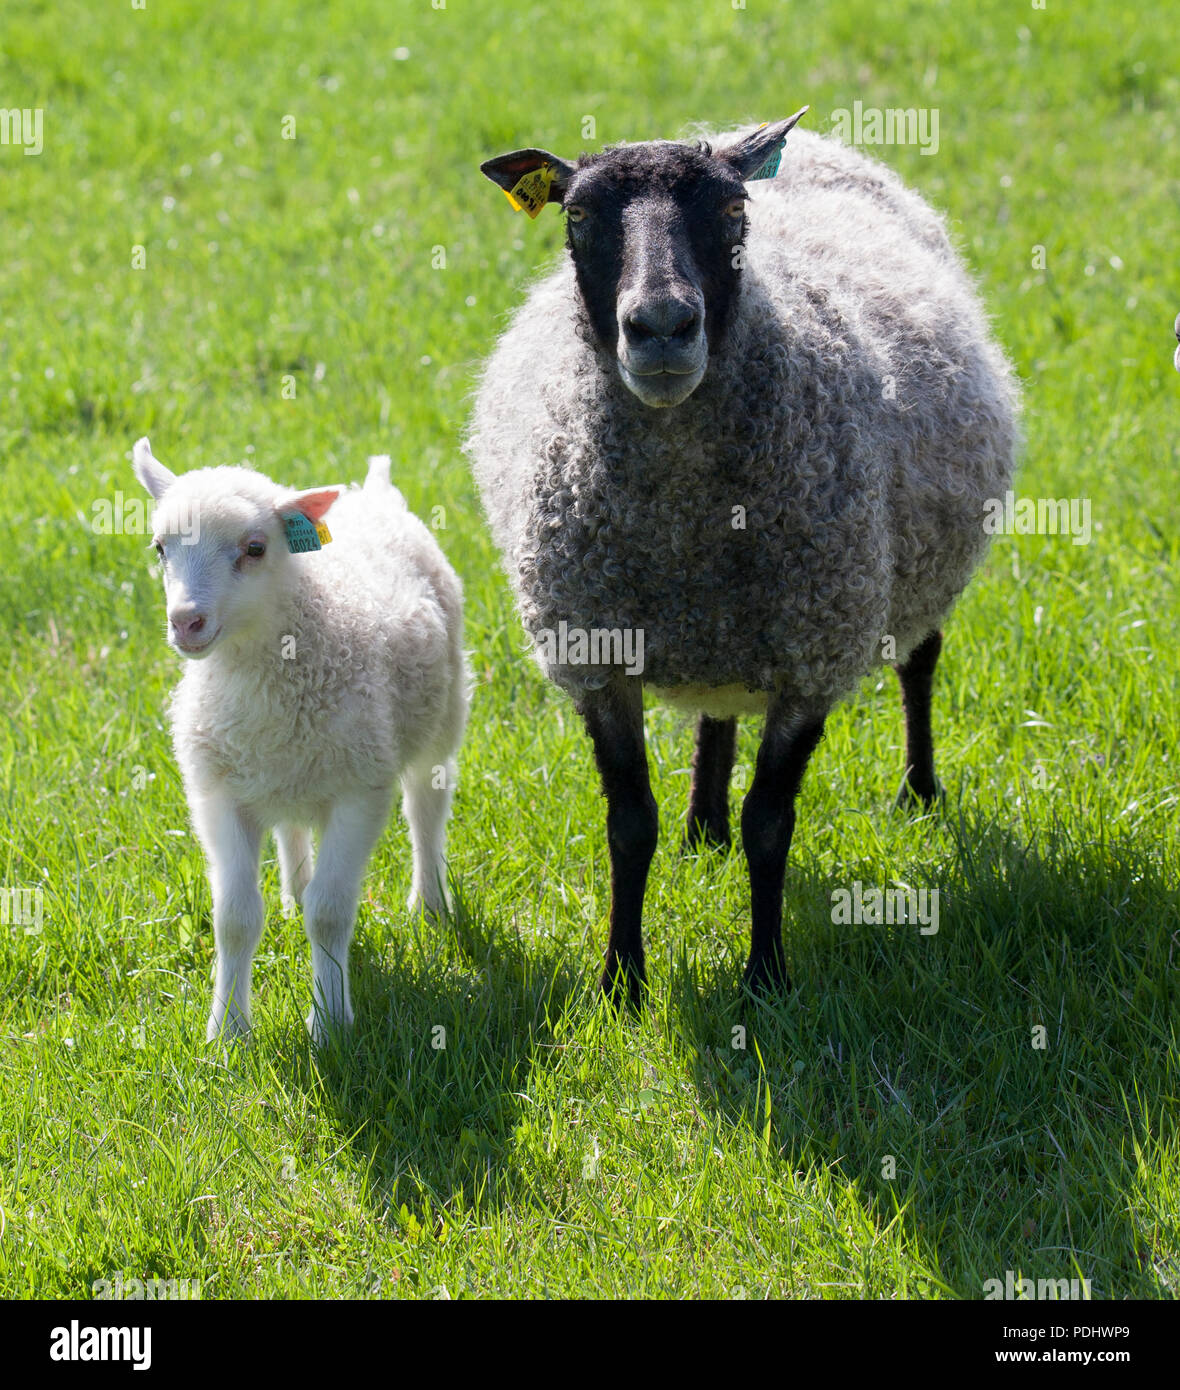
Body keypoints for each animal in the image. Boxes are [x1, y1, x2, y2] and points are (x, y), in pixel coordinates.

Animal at [131, 439, 469, 1044]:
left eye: (255, 548)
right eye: (160, 548)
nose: (185, 622)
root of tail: (372, 493)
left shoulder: (360, 791)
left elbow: (330, 913)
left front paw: (330, 1024)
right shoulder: (217, 793)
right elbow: (235, 918)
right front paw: (228, 1032)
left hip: (443, 714)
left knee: (427, 807)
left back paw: (430, 906)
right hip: (284, 770)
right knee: (290, 825)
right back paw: (292, 893)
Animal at [467, 114, 1019, 1004]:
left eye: (732, 214)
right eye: (577, 217)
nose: (661, 327)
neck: (687, 523)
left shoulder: (814, 653)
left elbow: (771, 826)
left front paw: (765, 978)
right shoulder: (596, 657)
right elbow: (629, 826)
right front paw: (621, 981)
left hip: (918, 565)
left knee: (920, 661)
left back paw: (919, 791)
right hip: (725, 631)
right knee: (716, 710)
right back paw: (703, 825)